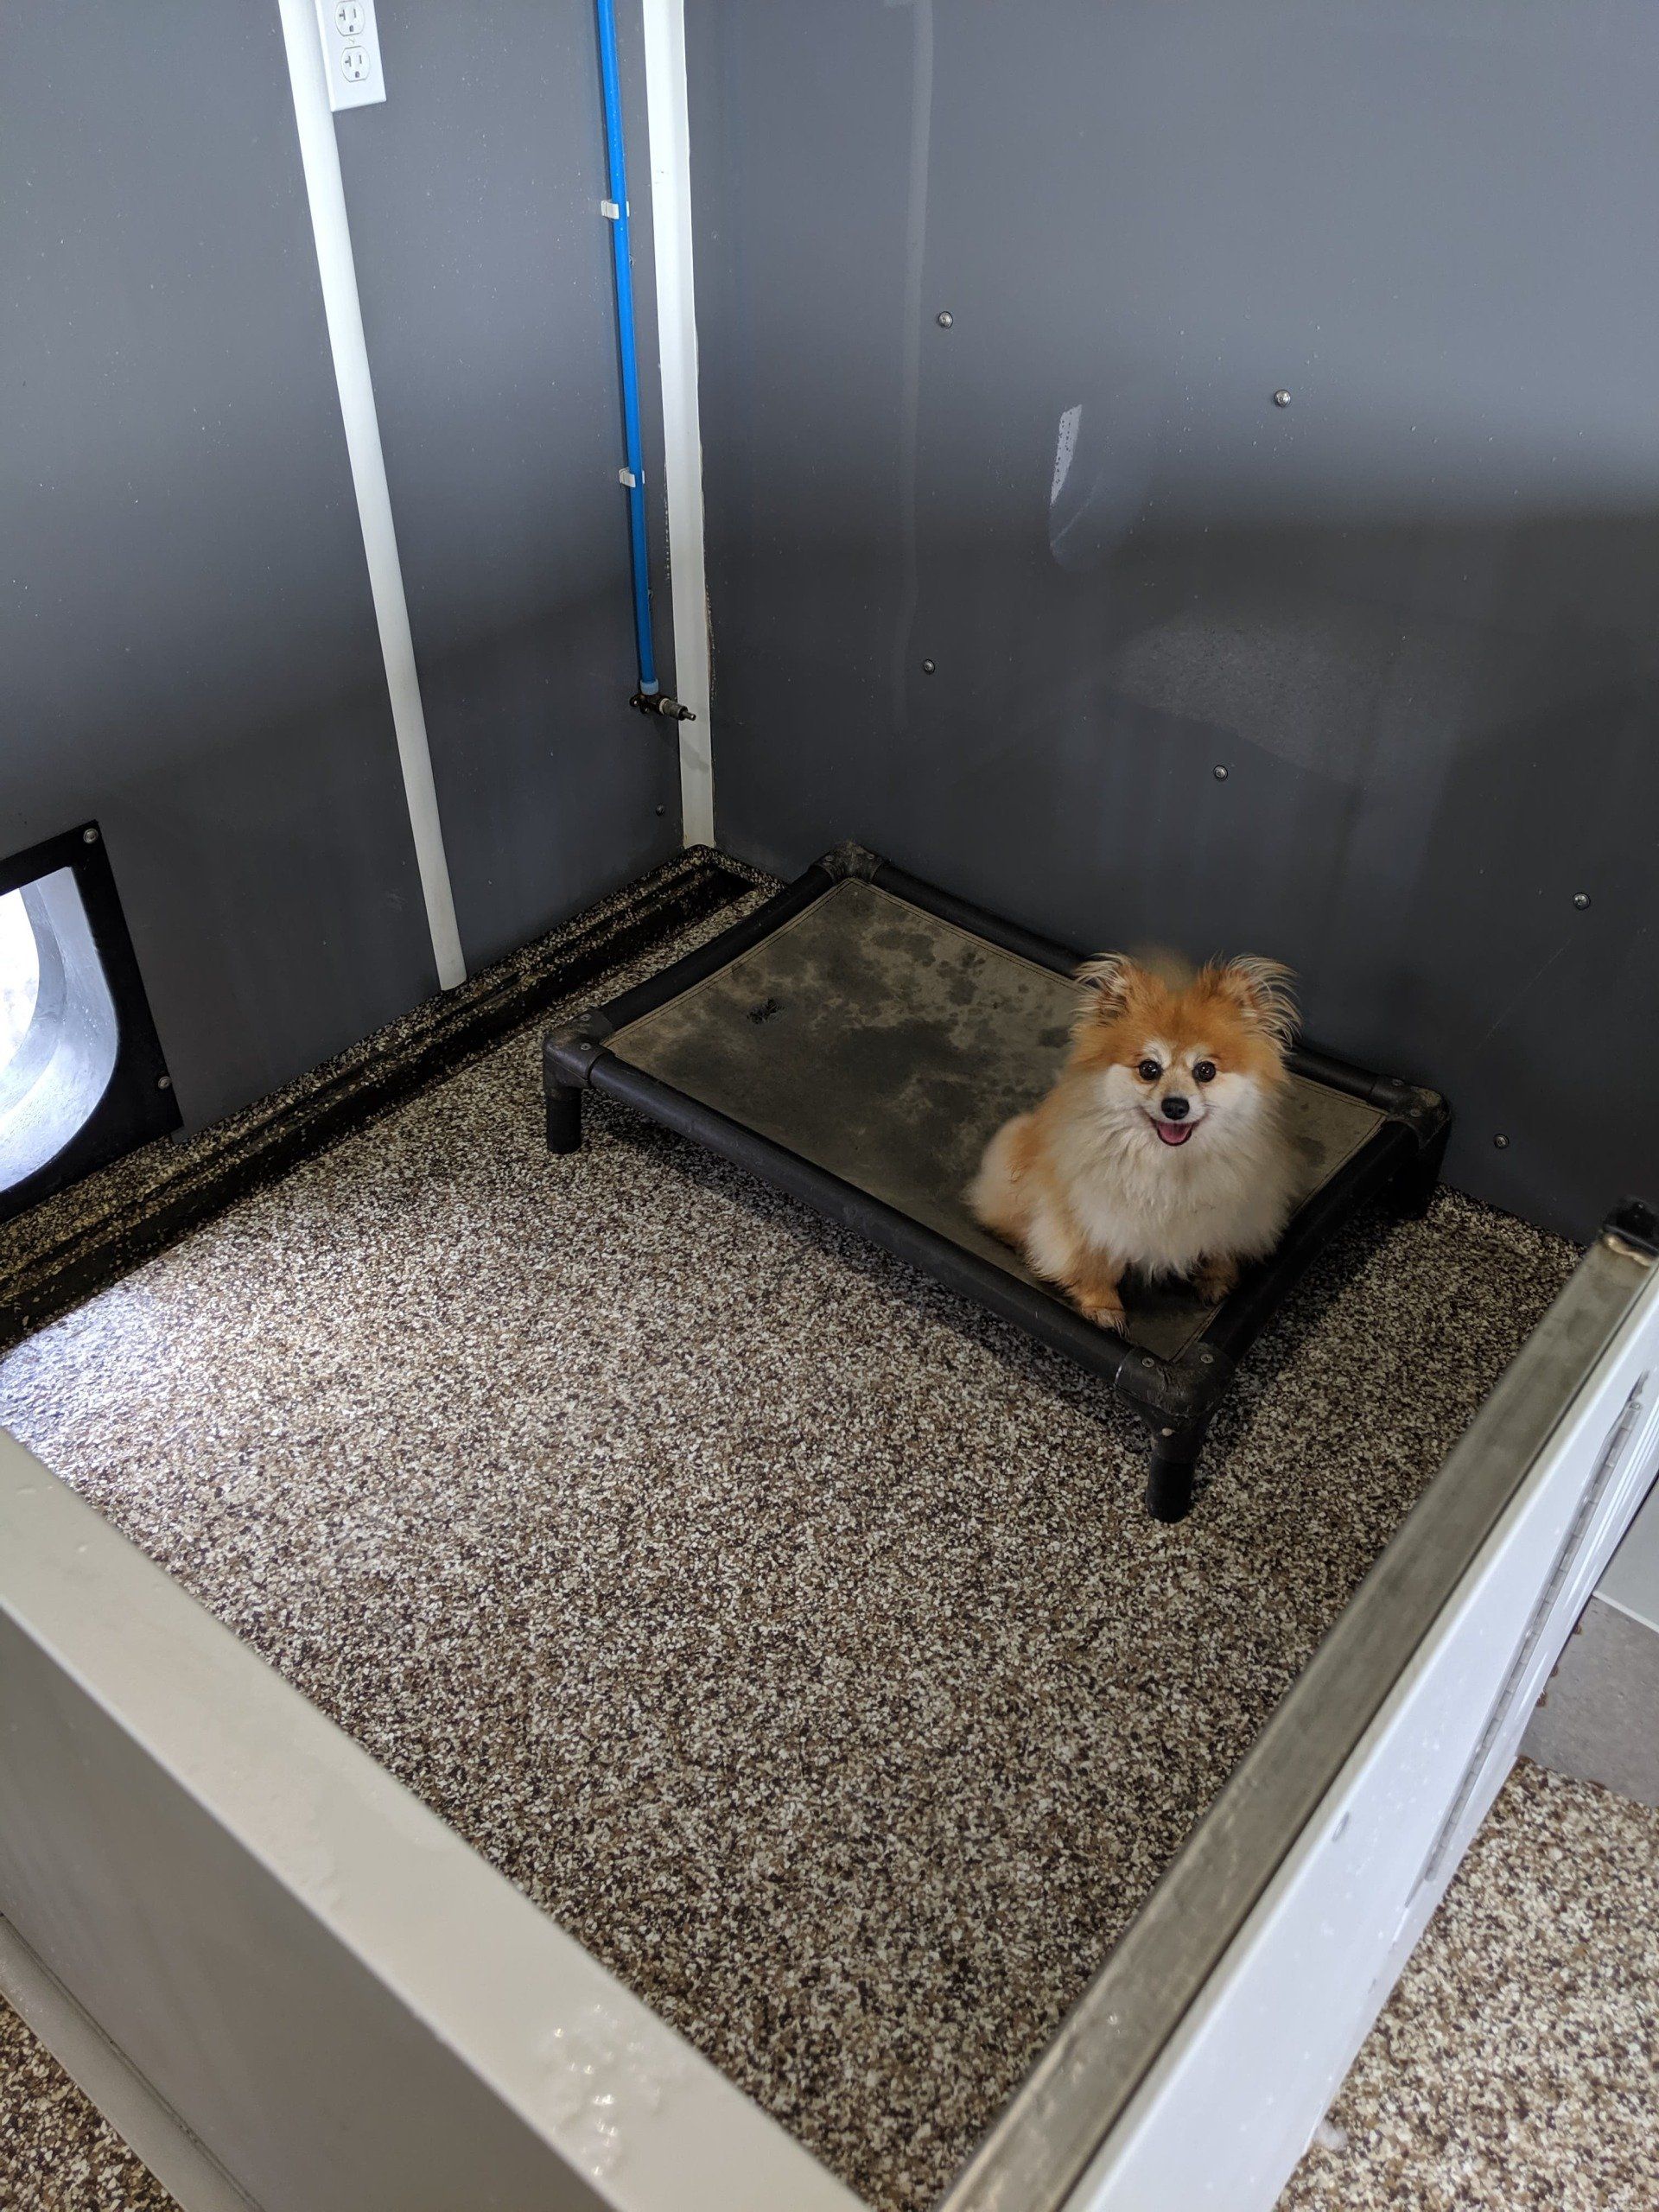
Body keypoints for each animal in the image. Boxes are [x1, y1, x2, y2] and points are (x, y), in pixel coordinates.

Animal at [968, 950, 1299, 1333]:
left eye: (1206, 1071)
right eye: (1149, 1069)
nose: (1175, 1106)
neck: (1172, 1162)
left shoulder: (1241, 1209)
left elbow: (1221, 1247)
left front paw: (1217, 1279)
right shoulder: (1091, 1212)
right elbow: (1096, 1263)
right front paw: (1103, 1306)